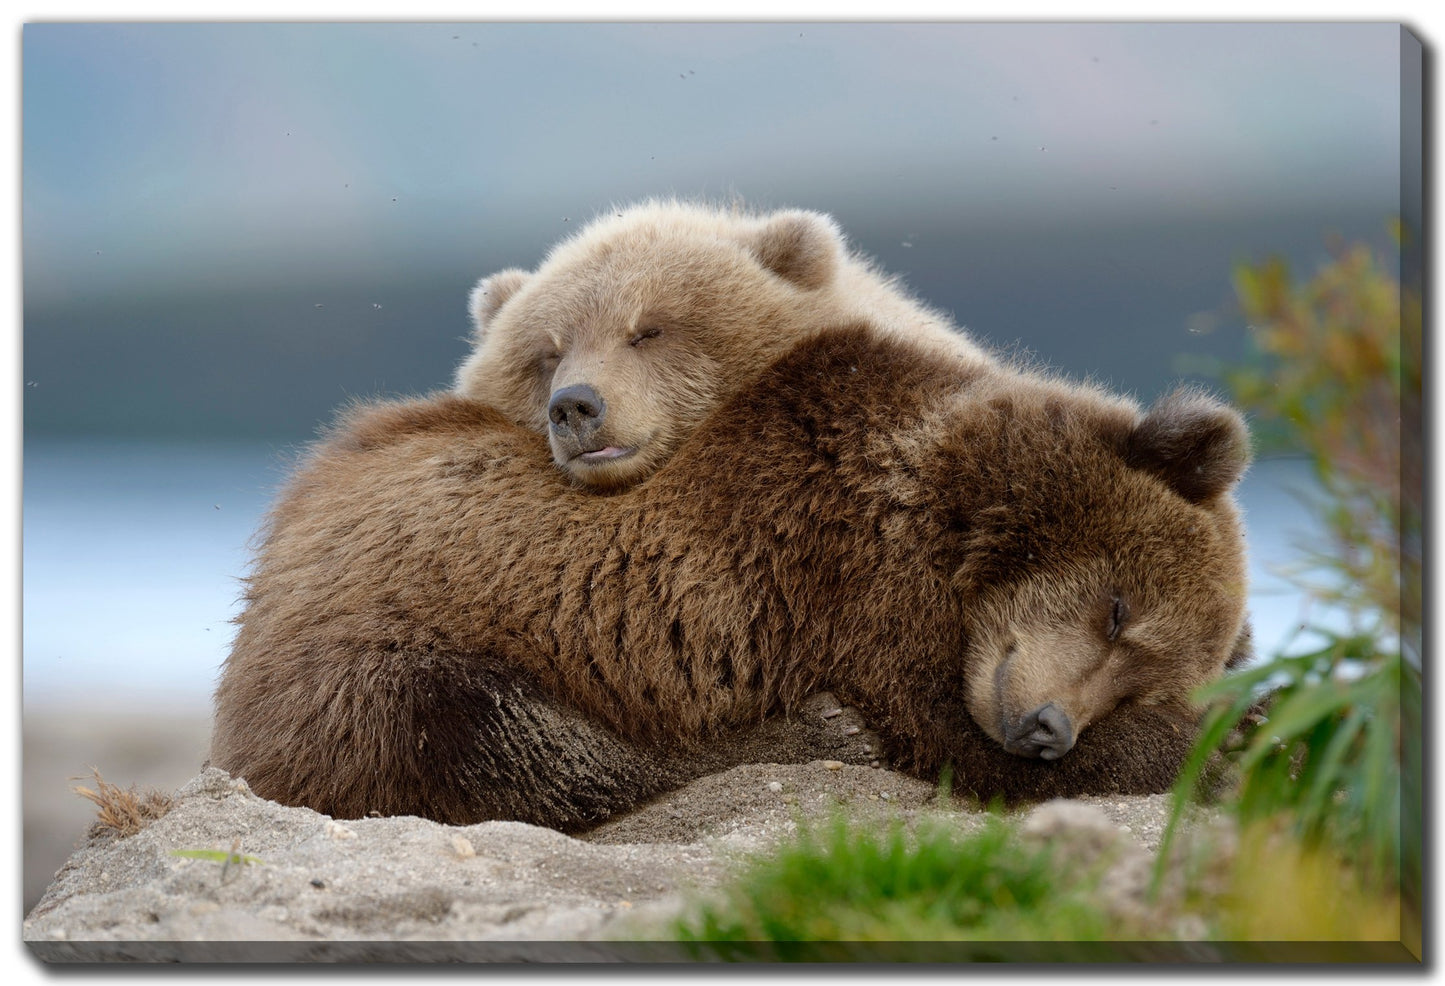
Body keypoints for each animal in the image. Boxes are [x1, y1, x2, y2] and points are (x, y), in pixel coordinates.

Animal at [209, 323, 1253, 830]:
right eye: (1118, 610)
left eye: (1136, 676)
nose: (1046, 728)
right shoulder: (850, 574)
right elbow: (943, 732)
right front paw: (1234, 741)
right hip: (366, 649)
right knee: (484, 736)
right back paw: (804, 732)